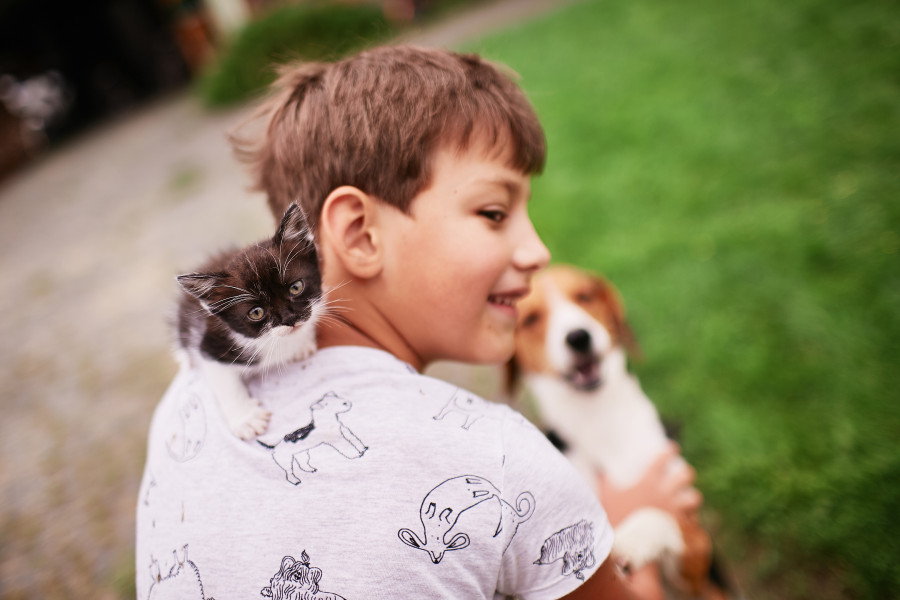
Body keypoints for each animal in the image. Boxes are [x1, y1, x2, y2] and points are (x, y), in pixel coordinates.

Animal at [174, 204, 322, 438]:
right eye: (256, 312)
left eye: (296, 287)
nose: (290, 319)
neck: (271, 340)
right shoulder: (210, 344)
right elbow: (224, 381)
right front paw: (247, 419)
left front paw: (302, 344)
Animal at [510, 264, 728, 596]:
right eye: (531, 318)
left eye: (584, 296)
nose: (579, 337)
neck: (598, 417)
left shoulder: (698, 554)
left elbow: (659, 516)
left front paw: (629, 541)